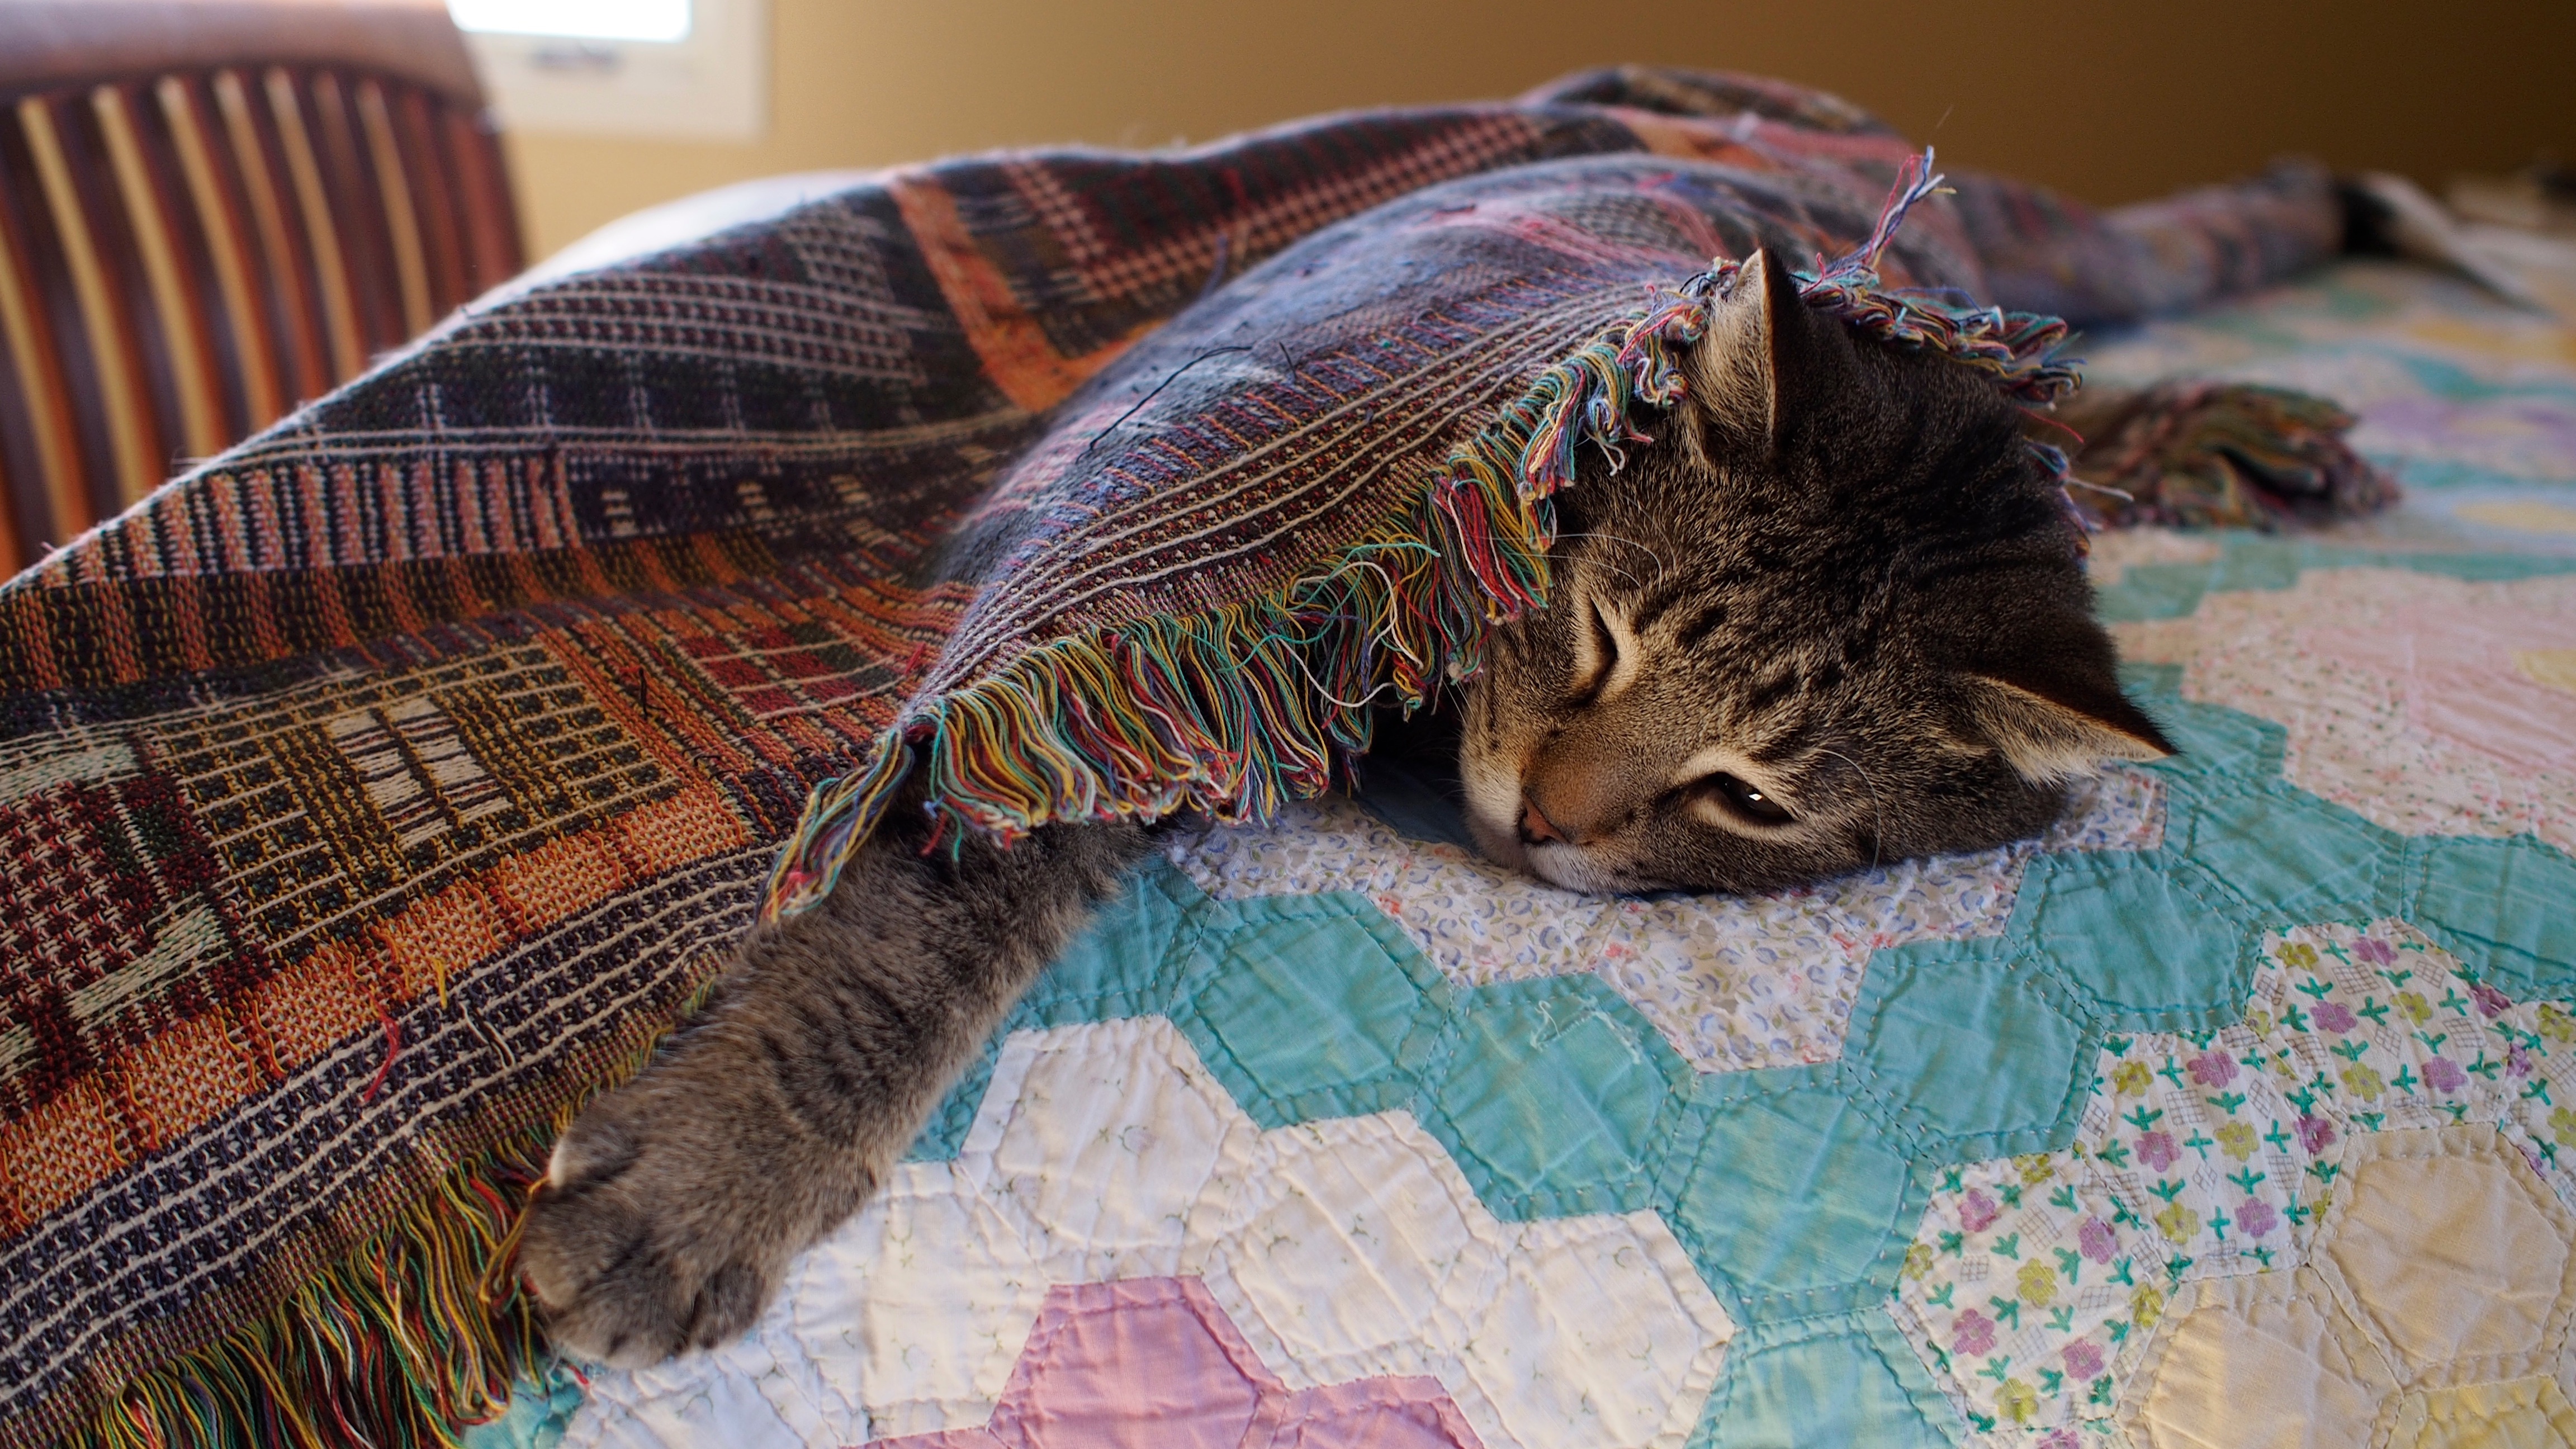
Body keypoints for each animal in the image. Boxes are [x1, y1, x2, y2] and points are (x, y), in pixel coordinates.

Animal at [518, 247, 2174, 1361]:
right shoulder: (1127, 684)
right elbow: (922, 929)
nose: (1545, 823)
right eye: (1603, 631)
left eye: (1751, 800)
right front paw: (710, 1179)